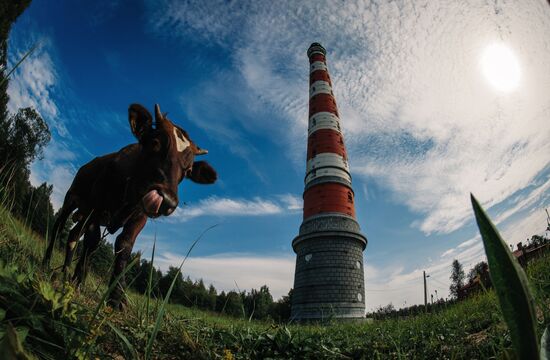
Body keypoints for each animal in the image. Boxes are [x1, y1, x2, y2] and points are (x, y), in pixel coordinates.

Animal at [42, 102, 218, 308]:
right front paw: (78, 280)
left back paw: (65, 271)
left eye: (188, 170)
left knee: (73, 234)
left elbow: (124, 245)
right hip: (71, 199)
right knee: (59, 226)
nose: (167, 199)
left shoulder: (139, 217)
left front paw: (116, 297)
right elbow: (92, 241)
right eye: (155, 143)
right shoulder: (96, 206)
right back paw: (47, 263)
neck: (129, 191)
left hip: (83, 214)